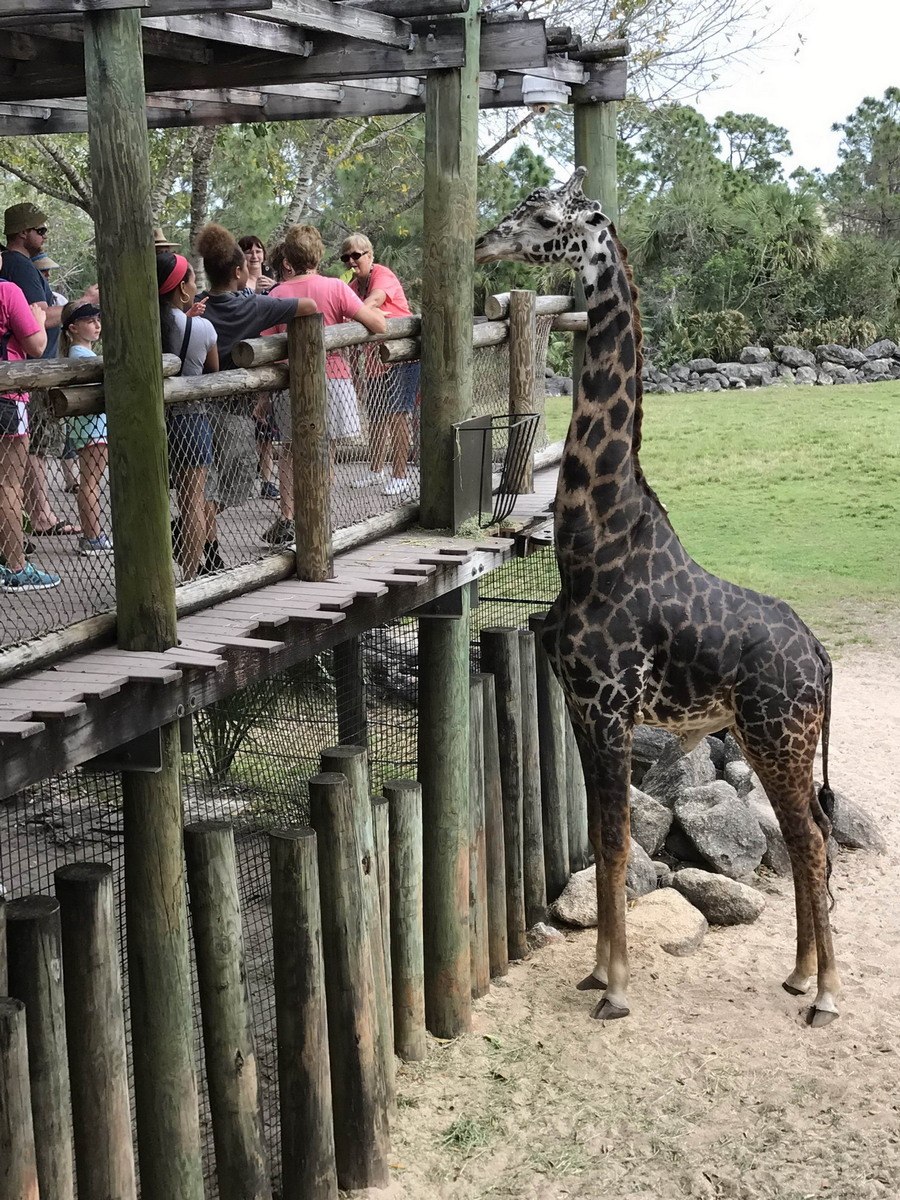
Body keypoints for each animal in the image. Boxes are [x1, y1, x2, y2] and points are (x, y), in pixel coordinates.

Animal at [475, 168, 840, 1027]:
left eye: (543, 216)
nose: (483, 242)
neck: (594, 541)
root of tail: (821, 658)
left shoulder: (609, 708)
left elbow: (612, 843)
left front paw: (614, 986)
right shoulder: (579, 707)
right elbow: (602, 840)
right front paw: (595, 974)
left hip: (781, 736)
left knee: (812, 842)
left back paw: (826, 995)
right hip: (768, 738)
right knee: (805, 834)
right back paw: (798, 975)